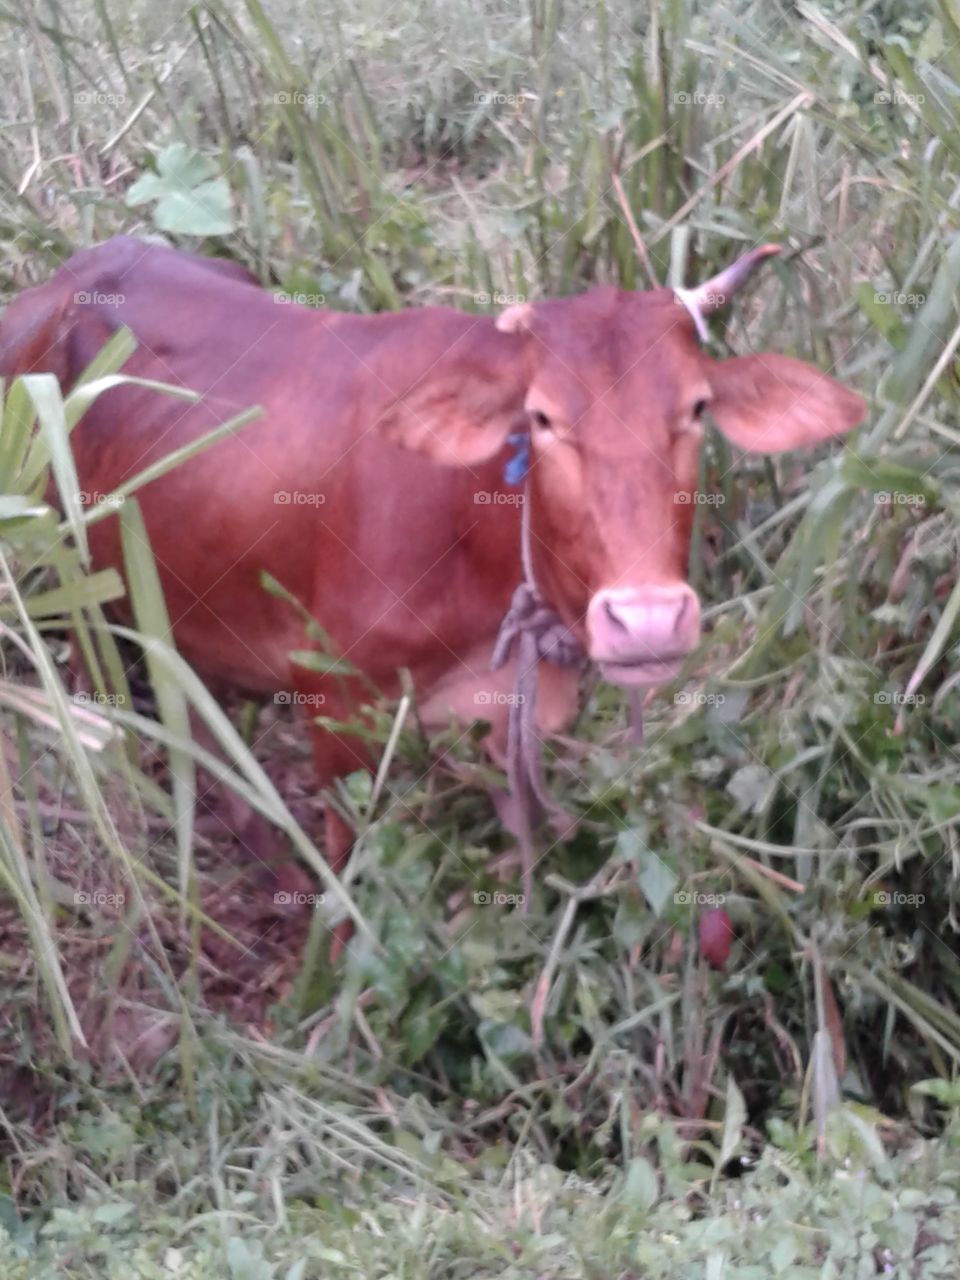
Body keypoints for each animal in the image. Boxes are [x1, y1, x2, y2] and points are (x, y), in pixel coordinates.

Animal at [0, 236, 865, 939]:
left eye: (696, 407)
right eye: (541, 419)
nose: (647, 620)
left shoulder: (506, 710)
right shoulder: (335, 699)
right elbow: (352, 866)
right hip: (70, 589)